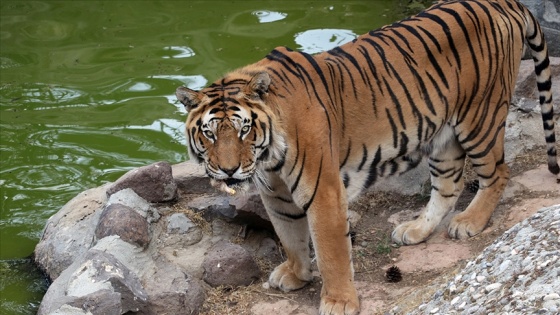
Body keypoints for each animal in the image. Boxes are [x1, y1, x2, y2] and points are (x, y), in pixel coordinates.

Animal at [174, 1, 556, 314]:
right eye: (209, 133)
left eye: (244, 130)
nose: (228, 171)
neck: (269, 155)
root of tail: (501, 2)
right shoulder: (276, 194)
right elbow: (290, 237)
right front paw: (296, 274)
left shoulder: (323, 192)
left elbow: (331, 252)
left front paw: (339, 301)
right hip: (443, 138)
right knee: (448, 187)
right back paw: (416, 230)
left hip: (480, 119)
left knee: (498, 173)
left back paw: (470, 222)